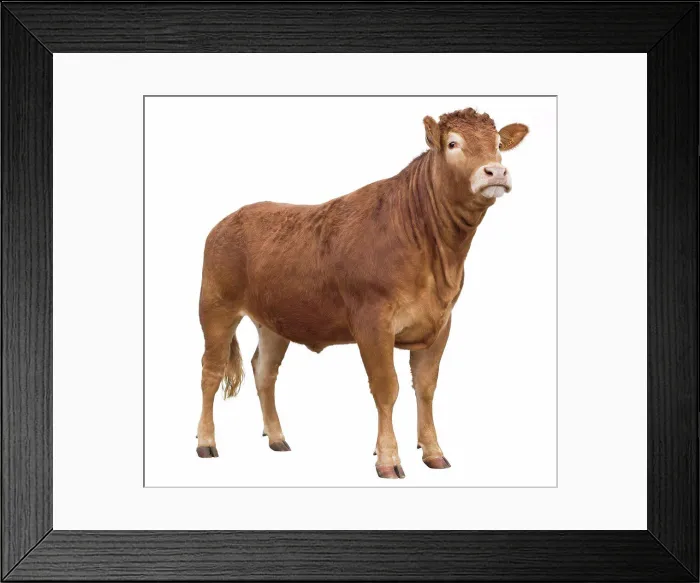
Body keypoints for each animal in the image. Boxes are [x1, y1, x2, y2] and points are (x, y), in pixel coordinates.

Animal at [196, 107, 528, 479]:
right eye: (453, 143)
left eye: (498, 143)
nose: (496, 171)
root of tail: (230, 219)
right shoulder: (373, 322)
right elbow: (387, 388)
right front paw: (388, 459)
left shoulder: (441, 323)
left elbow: (425, 388)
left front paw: (433, 452)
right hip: (216, 307)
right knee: (211, 371)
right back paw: (206, 442)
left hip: (274, 320)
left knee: (264, 371)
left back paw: (278, 437)